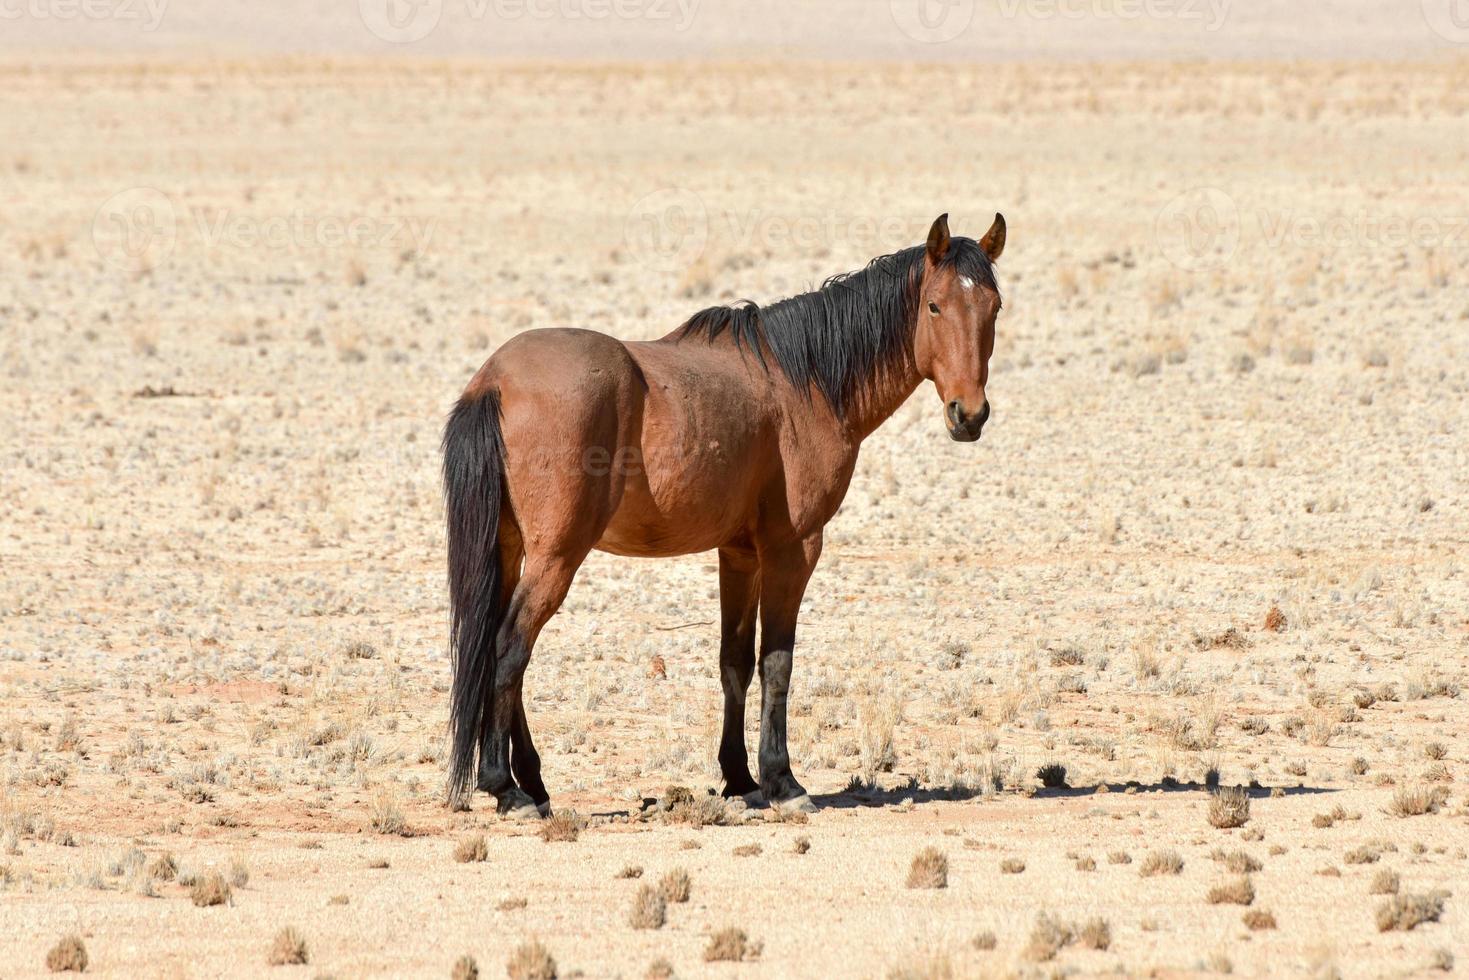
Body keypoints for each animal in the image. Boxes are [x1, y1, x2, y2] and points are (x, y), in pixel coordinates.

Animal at [440, 214, 1004, 822]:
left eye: (994, 306)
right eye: (934, 306)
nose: (969, 415)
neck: (804, 382)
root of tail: (495, 380)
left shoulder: (738, 554)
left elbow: (734, 660)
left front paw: (739, 778)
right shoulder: (792, 549)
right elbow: (776, 661)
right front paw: (783, 780)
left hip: (511, 550)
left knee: (496, 647)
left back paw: (534, 783)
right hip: (556, 557)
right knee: (508, 648)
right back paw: (507, 788)